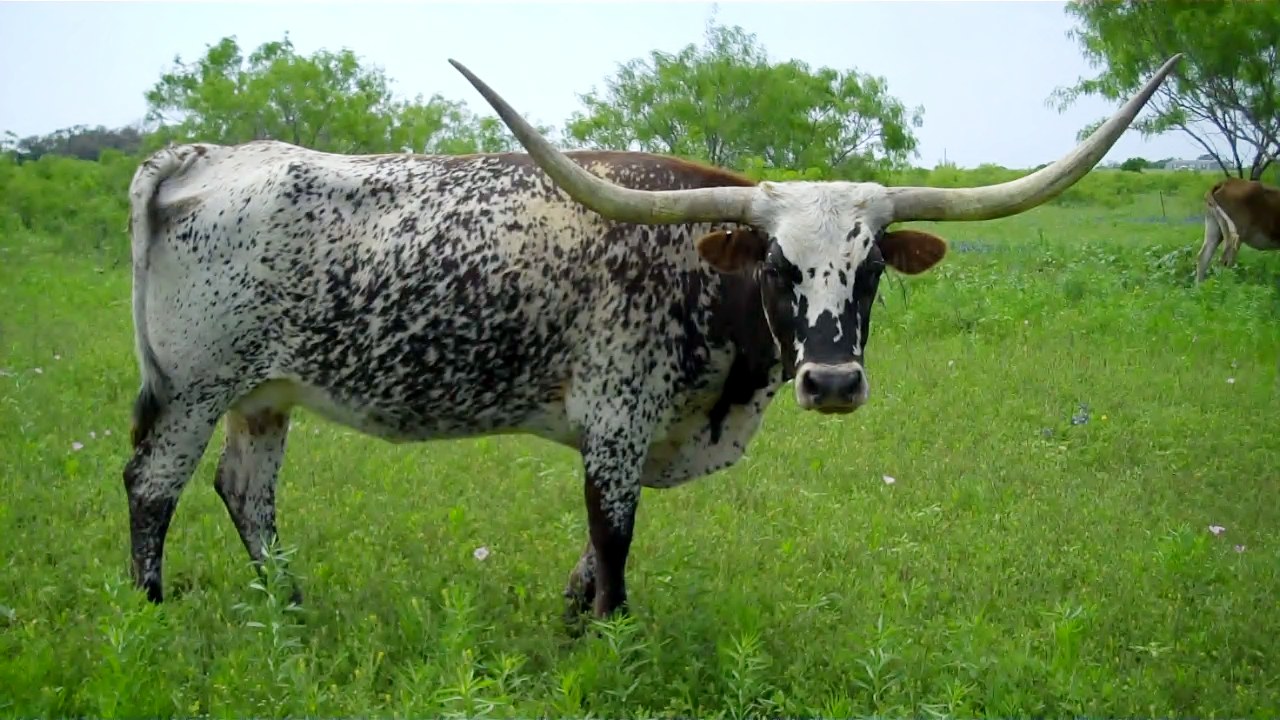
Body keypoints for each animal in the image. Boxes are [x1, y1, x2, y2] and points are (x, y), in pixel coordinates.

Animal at [122, 54, 1177, 617]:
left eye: (871, 267)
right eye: (779, 266)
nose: (833, 384)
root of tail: (201, 155)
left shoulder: (637, 435)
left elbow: (594, 559)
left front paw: (568, 625)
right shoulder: (617, 424)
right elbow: (616, 548)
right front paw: (611, 646)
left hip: (264, 395)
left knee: (246, 495)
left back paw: (289, 609)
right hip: (194, 387)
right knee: (154, 488)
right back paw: (153, 615)